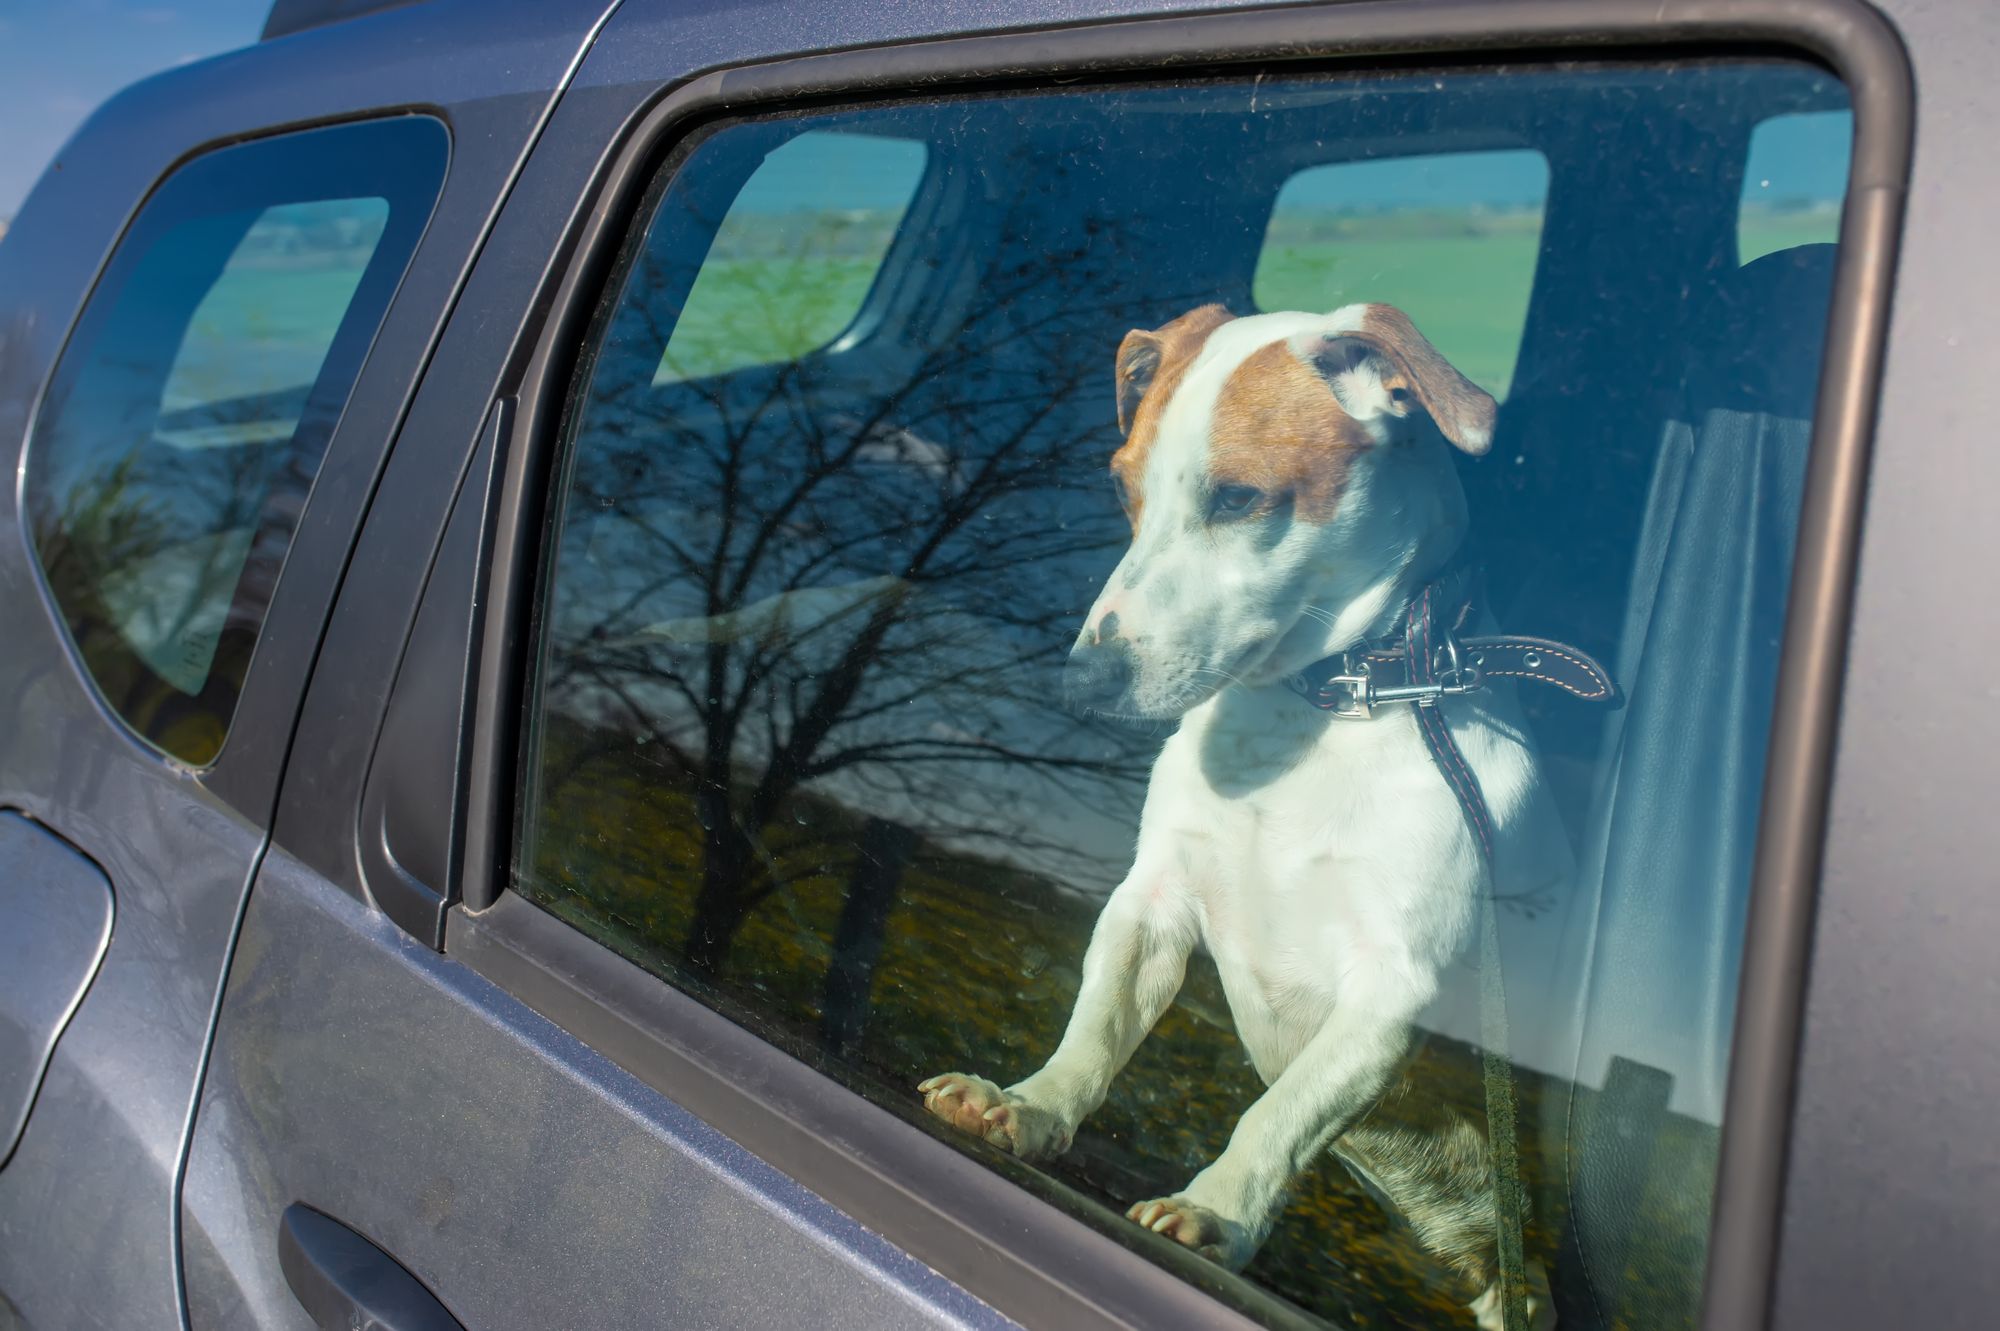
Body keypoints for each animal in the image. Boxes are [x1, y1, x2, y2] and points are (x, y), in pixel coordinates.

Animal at [916, 303, 1560, 1327]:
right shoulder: (1152, 904)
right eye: (1122, 487)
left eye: (1237, 498)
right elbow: (1096, 1031)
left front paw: (1216, 1207)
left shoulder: (1392, 990)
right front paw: (1033, 1103)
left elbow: (1277, 1115)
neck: (1315, 715)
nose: (1081, 681)